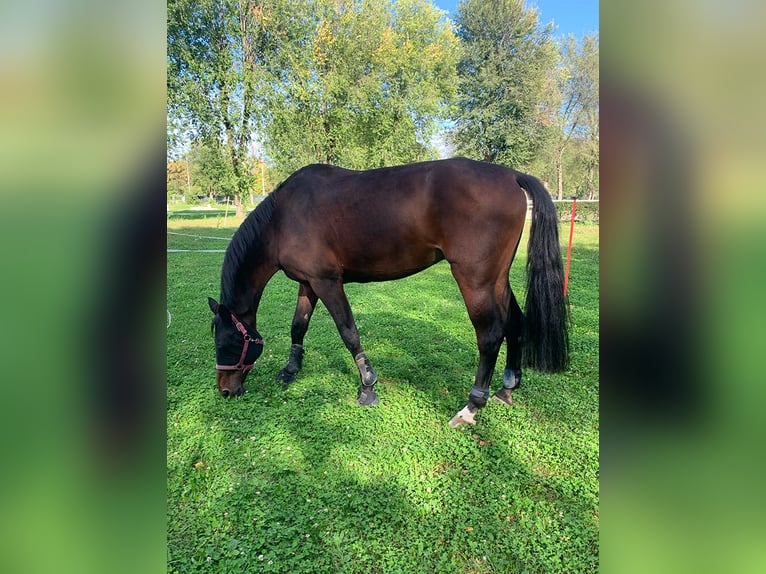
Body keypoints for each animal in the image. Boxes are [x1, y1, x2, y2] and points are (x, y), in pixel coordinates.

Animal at [207, 157, 569, 427]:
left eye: (226, 342)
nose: (225, 391)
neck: (283, 219)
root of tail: (511, 175)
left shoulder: (327, 282)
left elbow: (348, 331)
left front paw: (367, 386)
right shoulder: (308, 283)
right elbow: (299, 326)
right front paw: (290, 370)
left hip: (475, 281)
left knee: (490, 336)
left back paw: (470, 406)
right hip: (497, 279)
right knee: (515, 322)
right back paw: (507, 388)